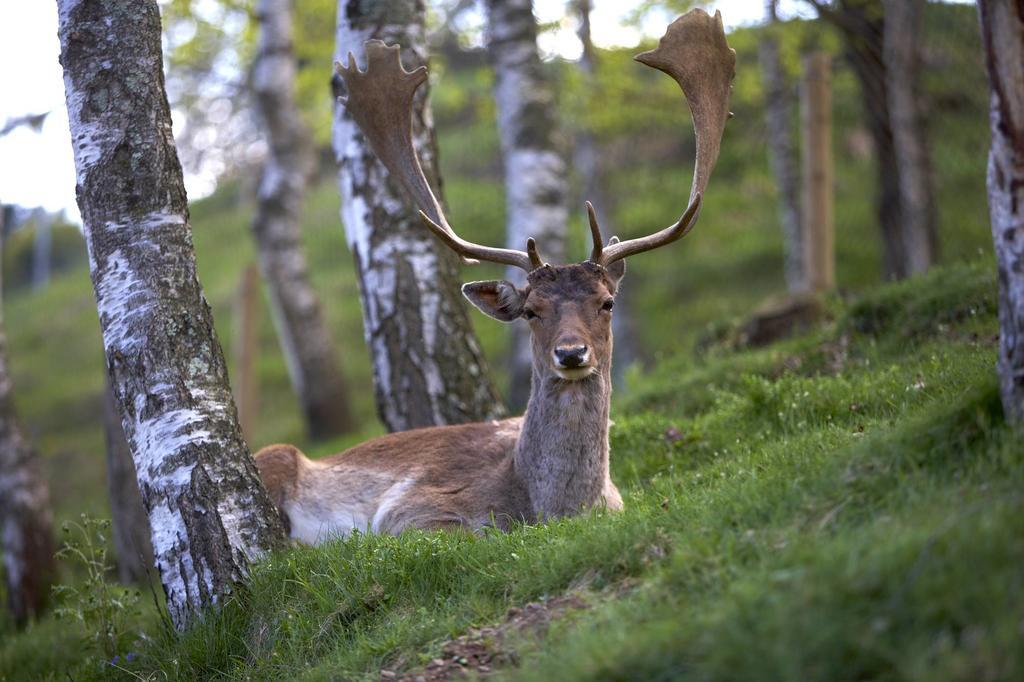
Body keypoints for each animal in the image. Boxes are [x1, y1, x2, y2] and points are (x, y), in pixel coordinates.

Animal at [254, 9, 737, 540]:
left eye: (606, 302)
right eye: (531, 311)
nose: (571, 353)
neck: (549, 505)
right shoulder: (406, 514)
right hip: (275, 458)